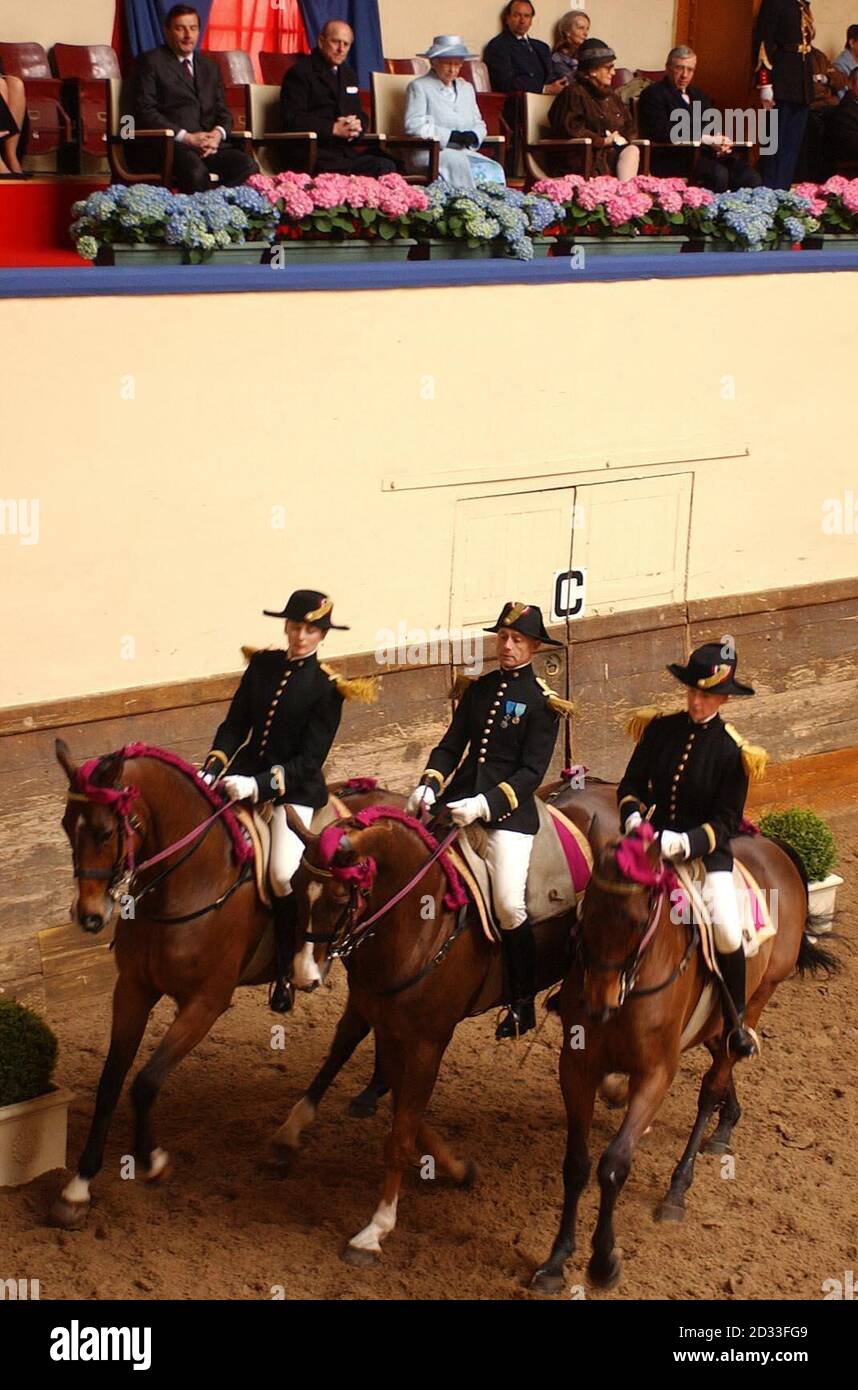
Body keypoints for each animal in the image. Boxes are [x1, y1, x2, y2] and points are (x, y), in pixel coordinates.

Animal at [50, 739, 392, 1228]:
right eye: (66, 825)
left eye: (104, 830)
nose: (90, 916)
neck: (187, 882)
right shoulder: (132, 991)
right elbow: (111, 1082)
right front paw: (78, 1187)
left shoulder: (206, 1003)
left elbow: (145, 1082)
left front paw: (152, 1160)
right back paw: (374, 1090)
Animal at [266, 778, 614, 1267]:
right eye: (296, 887)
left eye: (339, 898)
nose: (304, 976)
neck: (417, 923)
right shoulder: (379, 1015)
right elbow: (362, 1071)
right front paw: (458, 1167)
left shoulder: (427, 1040)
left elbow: (401, 1133)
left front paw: (376, 1229)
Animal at [528, 811, 834, 1289]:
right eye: (585, 911)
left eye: (638, 920)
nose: (597, 1004)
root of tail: (772, 846)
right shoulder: (576, 1066)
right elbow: (576, 1163)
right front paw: (557, 1260)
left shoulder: (655, 1074)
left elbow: (613, 1164)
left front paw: (603, 1261)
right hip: (714, 1023)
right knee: (721, 1064)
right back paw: (728, 1121)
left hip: (756, 997)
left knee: (714, 1081)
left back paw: (679, 1187)